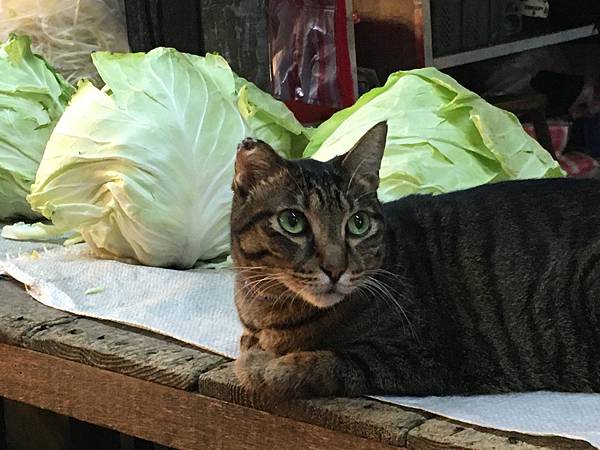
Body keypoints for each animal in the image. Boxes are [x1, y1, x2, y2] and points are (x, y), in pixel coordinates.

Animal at [229, 123, 600, 398]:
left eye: (358, 223)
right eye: (293, 221)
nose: (335, 269)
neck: (270, 312)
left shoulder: (422, 356)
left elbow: (322, 363)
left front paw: (264, 367)